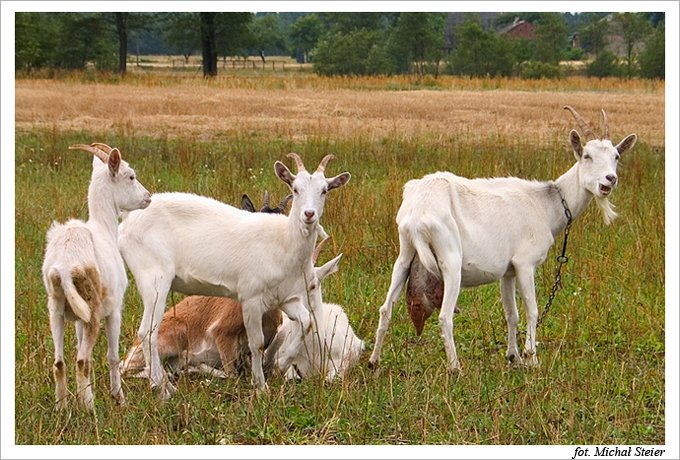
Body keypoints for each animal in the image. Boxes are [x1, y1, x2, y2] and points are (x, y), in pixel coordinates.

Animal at [42, 144, 150, 410]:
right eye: (130, 176)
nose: (147, 197)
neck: (104, 229)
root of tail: (64, 266)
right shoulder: (114, 310)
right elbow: (112, 356)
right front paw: (118, 397)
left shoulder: (77, 319)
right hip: (92, 310)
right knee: (82, 360)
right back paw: (89, 408)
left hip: (56, 309)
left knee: (60, 361)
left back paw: (62, 407)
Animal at [118, 153, 350, 398]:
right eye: (295, 188)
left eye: (325, 190)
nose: (309, 214)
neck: (283, 241)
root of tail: (126, 225)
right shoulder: (251, 298)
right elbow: (257, 343)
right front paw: (261, 387)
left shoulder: (284, 299)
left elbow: (306, 322)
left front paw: (282, 363)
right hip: (154, 280)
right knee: (147, 331)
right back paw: (161, 388)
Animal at [370, 107, 636, 370]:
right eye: (587, 155)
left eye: (616, 156)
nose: (609, 179)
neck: (548, 204)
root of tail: (418, 211)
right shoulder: (525, 263)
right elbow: (532, 310)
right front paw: (532, 358)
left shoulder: (507, 271)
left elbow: (512, 313)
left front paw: (513, 356)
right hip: (450, 259)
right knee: (445, 316)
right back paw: (455, 368)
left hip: (405, 255)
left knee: (385, 308)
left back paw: (374, 361)